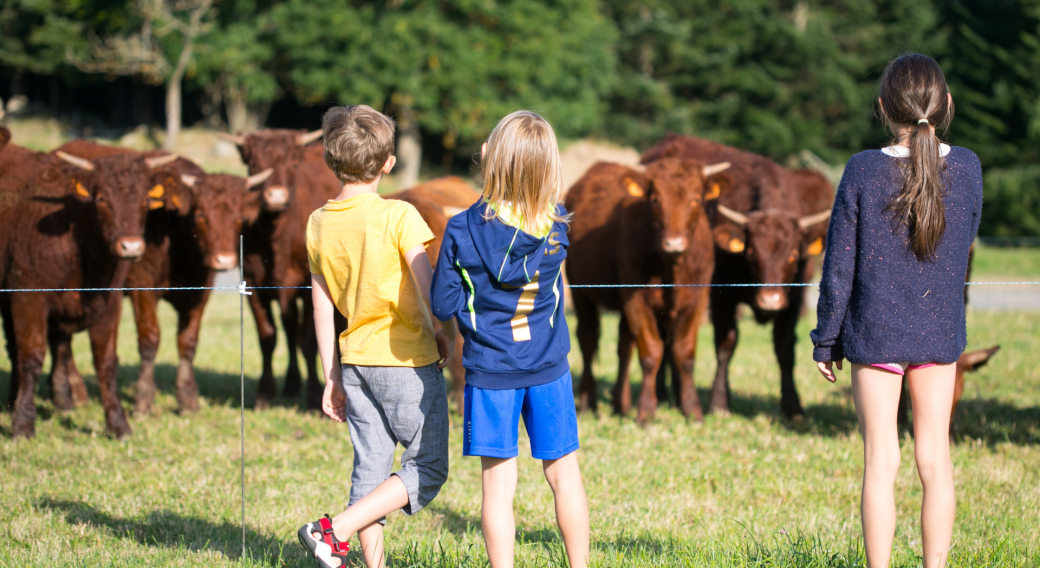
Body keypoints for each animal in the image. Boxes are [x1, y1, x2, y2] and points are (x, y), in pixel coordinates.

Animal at [0, 142, 174, 436]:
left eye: (144, 201)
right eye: (102, 199)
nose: (131, 246)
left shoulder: (108, 303)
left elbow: (106, 362)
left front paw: (118, 424)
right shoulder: (28, 298)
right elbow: (31, 357)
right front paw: (22, 424)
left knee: (58, 348)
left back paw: (62, 401)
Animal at [569, 157, 732, 422]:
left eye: (696, 198)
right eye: (655, 200)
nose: (674, 243)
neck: (672, 268)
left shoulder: (697, 301)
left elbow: (684, 353)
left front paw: (693, 410)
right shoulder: (637, 300)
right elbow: (651, 352)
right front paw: (645, 411)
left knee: (624, 346)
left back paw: (620, 404)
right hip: (580, 292)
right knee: (588, 340)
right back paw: (587, 403)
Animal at [640, 132, 836, 416]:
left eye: (792, 255)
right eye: (752, 253)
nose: (770, 300)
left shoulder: (793, 298)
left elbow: (785, 346)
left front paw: (792, 405)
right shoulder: (721, 296)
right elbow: (725, 344)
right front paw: (719, 401)